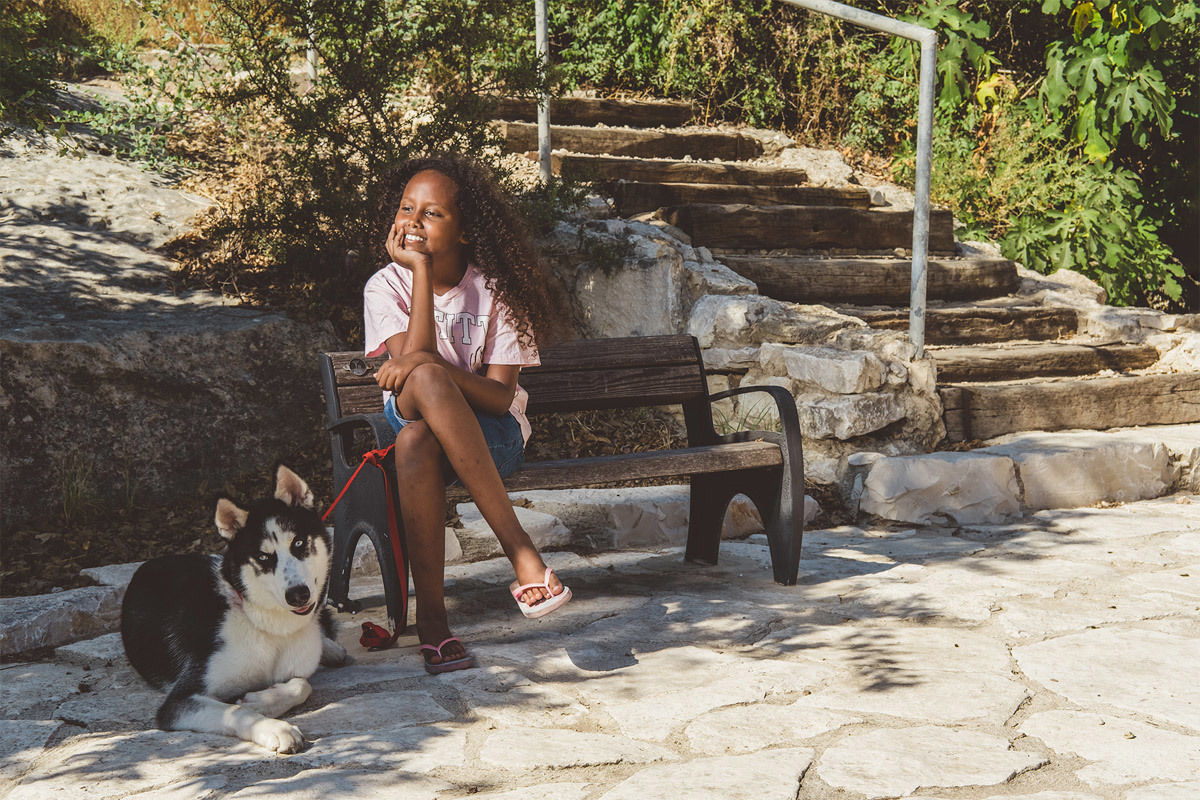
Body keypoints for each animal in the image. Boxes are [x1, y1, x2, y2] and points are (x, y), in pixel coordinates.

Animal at [120, 465, 348, 753]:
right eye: (263, 557)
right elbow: (235, 711)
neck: (266, 625)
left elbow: (302, 683)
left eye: (298, 543)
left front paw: (262, 700)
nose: (298, 595)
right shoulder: (180, 701)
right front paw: (275, 727)